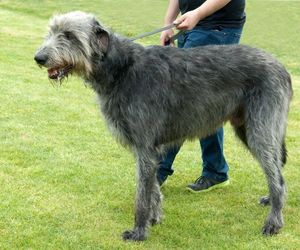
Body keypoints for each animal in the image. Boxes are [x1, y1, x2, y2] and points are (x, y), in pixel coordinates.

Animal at [34, 12, 292, 242]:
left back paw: (273, 223)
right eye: (52, 31)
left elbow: (142, 194)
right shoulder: (147, 148)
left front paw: (139, 231)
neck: (121, 69)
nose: (39, 58)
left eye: (69, 35)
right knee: (277, 170)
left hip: (260, 128)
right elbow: (153, 187)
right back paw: (271, 200)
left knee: (277, 178)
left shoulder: (145, 145)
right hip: (247, 128)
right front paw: (154, 217)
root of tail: (282, 67)